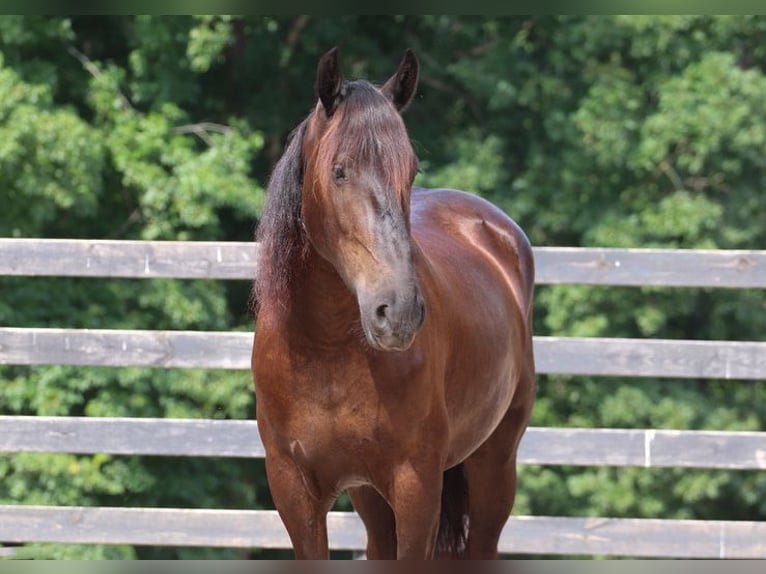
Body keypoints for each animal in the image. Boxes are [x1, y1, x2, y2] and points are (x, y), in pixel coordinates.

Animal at [252, 47, 536, 560]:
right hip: (371, 498)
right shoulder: (294, 490)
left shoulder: (416, 487)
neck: (324, 350)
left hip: (495, 466)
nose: (398, 312)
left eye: (412, 170)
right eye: (339, 170)